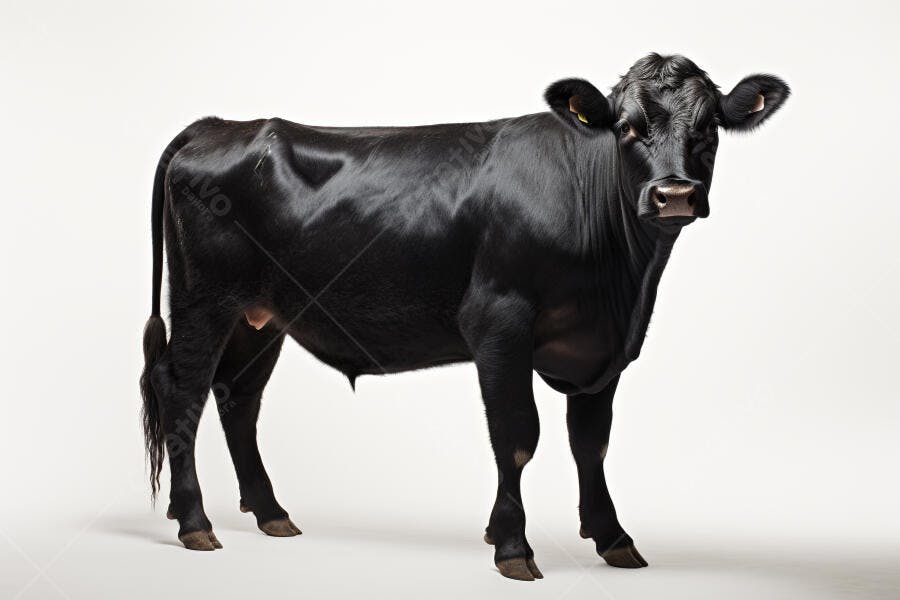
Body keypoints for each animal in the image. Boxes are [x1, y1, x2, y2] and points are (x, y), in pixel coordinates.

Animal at [140, 53, 789, 580]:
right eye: (627, 128)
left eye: (709, 127)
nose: (674, 194)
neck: (622, 288)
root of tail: (221, 125)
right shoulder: (499, 323)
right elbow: (517, 438)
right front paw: (513, 548)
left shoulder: (602, 348)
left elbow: (591, 443)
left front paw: (612, 538)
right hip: (204, 301)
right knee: (184, 392)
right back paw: (195, 522)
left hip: (261, 317)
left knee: (238, 400)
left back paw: (271, 512)